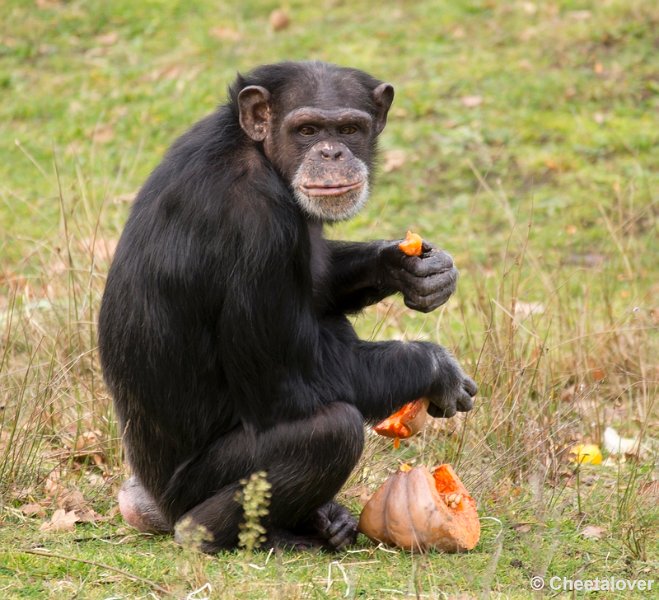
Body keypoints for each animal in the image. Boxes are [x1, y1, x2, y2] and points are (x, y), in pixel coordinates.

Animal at [99, 62, 474, 552]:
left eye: (349, 129)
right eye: (307, 129)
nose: (331, 152)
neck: (258, 152)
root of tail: (148, 502)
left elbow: (320, 285)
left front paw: (413, 269)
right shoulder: (260, 227)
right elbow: (286, 384)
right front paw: (437, 367)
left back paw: (326, 520)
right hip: (191, 489)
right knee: (332, 429)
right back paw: (221, 532)